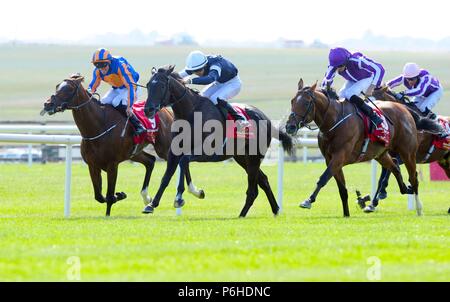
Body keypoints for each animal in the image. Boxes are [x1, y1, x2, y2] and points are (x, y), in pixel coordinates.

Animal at [41, 74, 204, 216]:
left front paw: (112, 205)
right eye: (57, 86)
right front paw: (120, 195)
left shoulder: (112, 165)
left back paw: (192, 193)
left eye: (68, 89)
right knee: (150, 161)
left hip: (165, 147)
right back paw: (147, 197)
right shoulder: (93, 165)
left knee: (181, 161)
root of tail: (165, 110)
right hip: (134, 152)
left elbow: (108, 195)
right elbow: (99, 196)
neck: (98, 125)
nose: (48, 104)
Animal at [142, 66, 294, 217]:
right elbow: (166, 176)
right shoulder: (174, 151)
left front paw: (182, 196)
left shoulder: (206, 152)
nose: (148, 110)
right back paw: (275, 210)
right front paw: (152, 204)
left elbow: (184, 161)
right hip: (242, 158)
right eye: (148, 85)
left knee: (253, 189)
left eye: (162, 86)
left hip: (254, 157)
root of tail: (266, 118)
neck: (191, 113)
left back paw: (243, 215)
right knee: (263, 180)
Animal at [286, 78, 428, 217]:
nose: (290, 126)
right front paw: (346, 214)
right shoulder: (330, 159)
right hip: (380, 154)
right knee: (395, 167)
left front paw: (308, 200)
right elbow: (342, 189)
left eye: (306, 103)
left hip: (407, 152)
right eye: (292, 101)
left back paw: (419, 207)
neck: (334, 121)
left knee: (413, 178)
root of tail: (404, 109)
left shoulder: (340, 156)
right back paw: (405, 189)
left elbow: (323, 178)